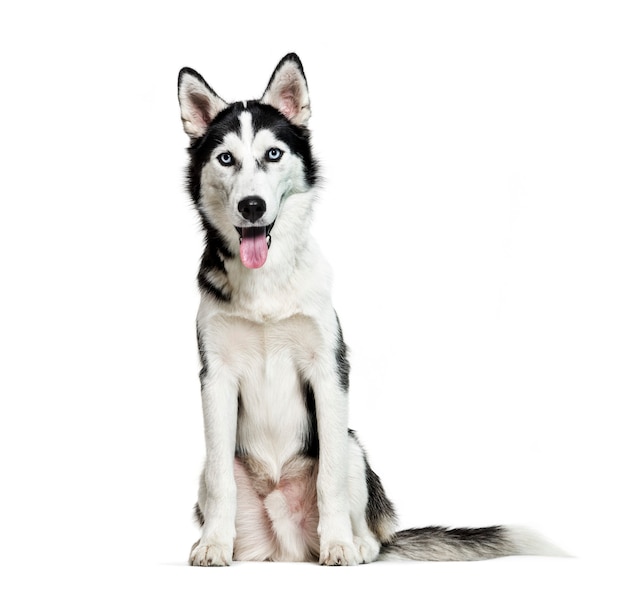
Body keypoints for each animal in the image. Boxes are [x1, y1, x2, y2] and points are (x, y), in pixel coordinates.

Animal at [177, 54, 560, 564]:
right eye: (226, 159)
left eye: (273, 154)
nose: (252, 206)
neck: (266, 283)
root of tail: (287, 547)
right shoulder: (215, 378)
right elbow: (222, 480)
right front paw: (214, 546)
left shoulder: (328, 370)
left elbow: (330, 479)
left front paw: (339, 543)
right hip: (213, 474)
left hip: (355, 446)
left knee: (370, 526)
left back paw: (354, 542)